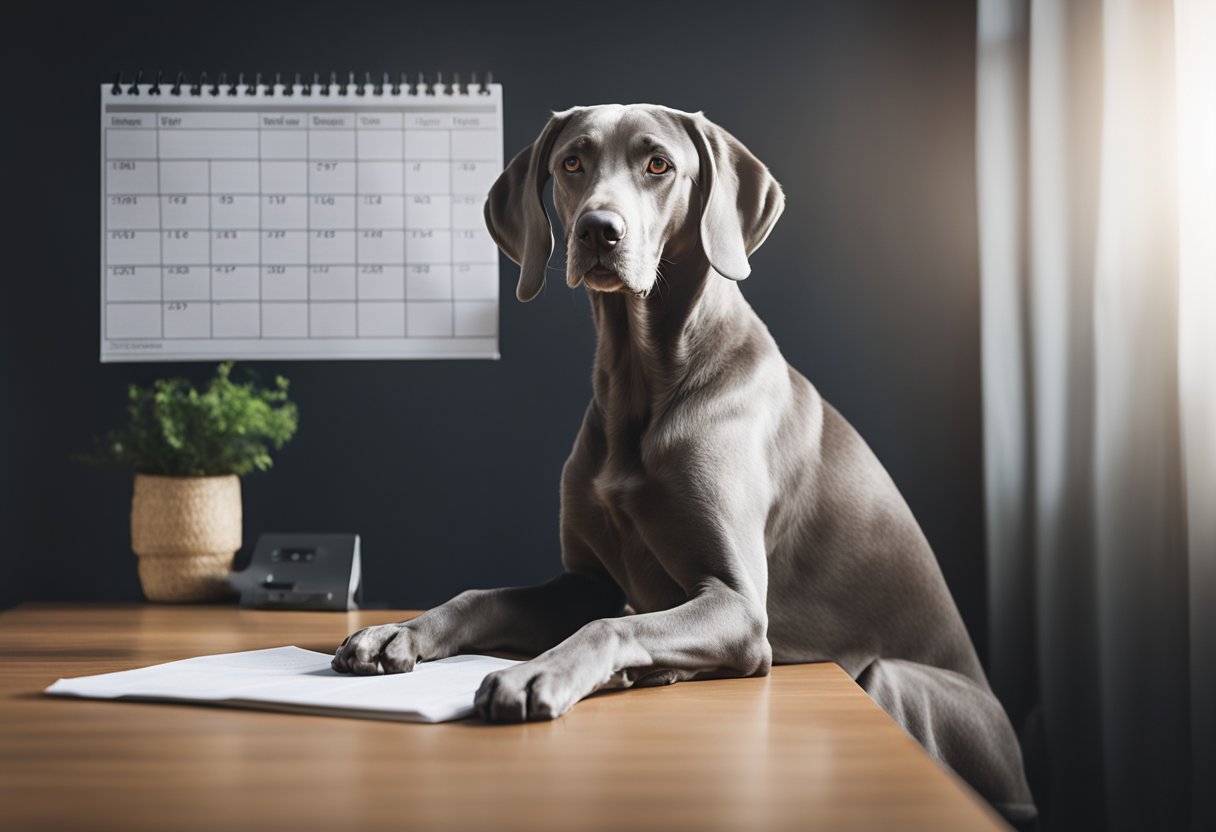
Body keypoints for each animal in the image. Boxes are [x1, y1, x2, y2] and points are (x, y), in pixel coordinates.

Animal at [333, 104, 1036, 827]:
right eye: (572, 162)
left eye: (659, 165)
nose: (598, 229)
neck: (640, 383)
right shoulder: (584, 581)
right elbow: (488, 596)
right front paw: (398, 631)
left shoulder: (738, 605)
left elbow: (611, 624)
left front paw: (536, 672)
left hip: (887, 678)